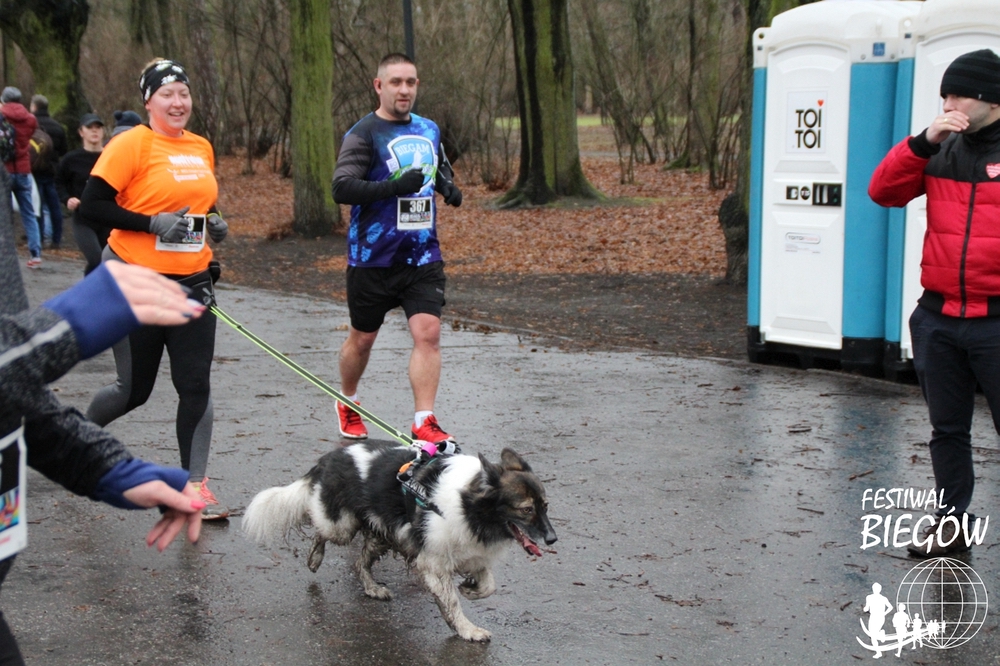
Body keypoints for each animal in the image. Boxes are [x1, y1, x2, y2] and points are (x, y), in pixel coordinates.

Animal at [242, 442, 557, 642]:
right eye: (526, 510)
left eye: (545, 506)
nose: (552, 538)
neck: (468, 505)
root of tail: (328, 458)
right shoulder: (432, 562)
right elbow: (452, 603)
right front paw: (467, 630)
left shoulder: (471, 551)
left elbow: (488, 585)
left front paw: (471, 589)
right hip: (341, 527)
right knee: (321, 531)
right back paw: (314, 557)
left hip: (385, 534)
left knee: (359, 562)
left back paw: (372, 589)